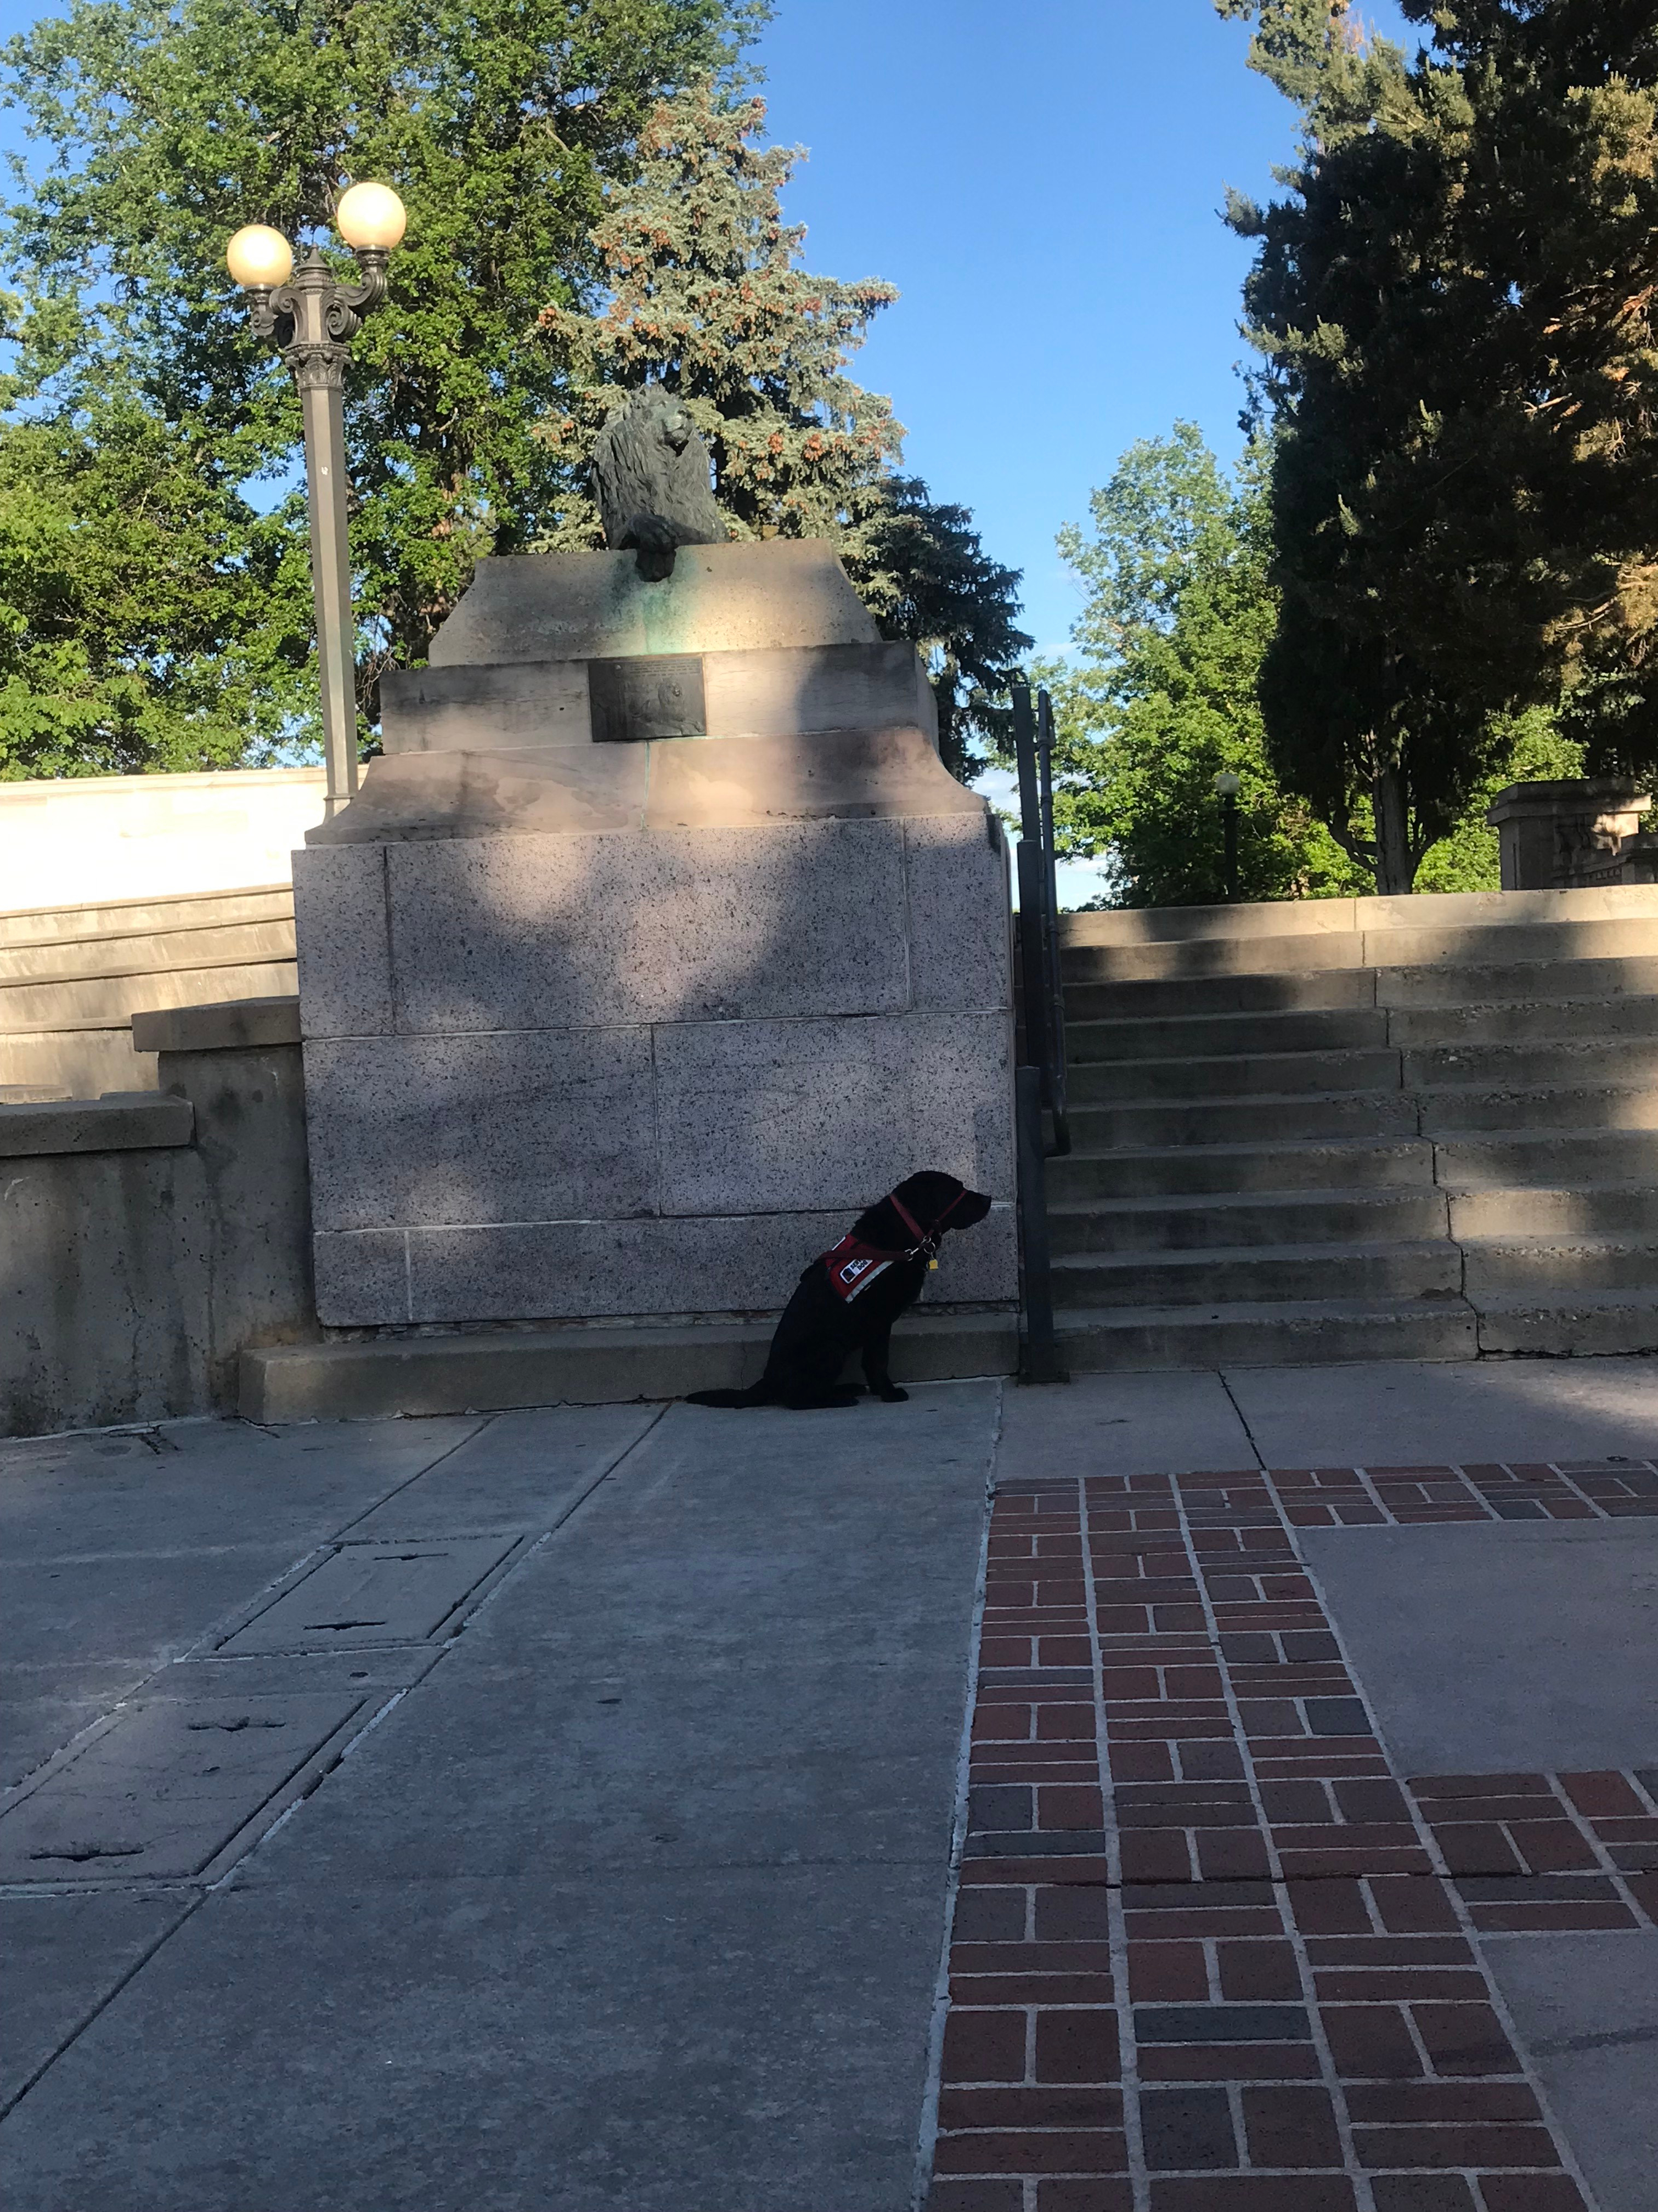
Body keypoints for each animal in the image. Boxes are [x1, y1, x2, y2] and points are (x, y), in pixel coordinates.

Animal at [685, 1167, 986, 1407]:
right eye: (956, 1189)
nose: (989, 1199)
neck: (904, 1235)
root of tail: (767, 1380)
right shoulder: (879, 1321)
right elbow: (878, 1361)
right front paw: (888, 1393)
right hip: (830, 1348)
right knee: (797, 1400)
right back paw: (839, 1399)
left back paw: (845, 1389)